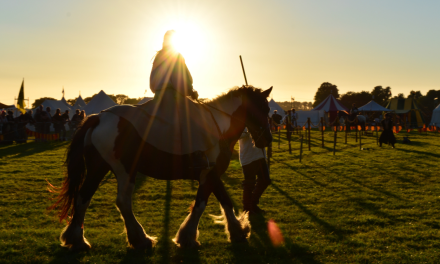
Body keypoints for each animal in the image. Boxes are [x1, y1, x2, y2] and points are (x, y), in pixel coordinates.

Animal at [48, 85, 272, 252]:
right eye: (264, 109)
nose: (267, 140)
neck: (219, 125)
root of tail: (99, 117)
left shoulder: (212, 174)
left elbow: (225, 201)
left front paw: (238, 231)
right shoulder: (208, 174)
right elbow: (201, 205)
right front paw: (187, 237)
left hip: (98, 168)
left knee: (83, 197)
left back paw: (77, 239)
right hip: (124, 170)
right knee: (122, 202)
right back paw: (140, 239)